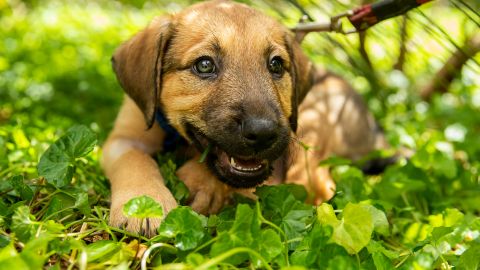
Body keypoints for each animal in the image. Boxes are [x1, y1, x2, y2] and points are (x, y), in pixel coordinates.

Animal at [101, 0, 386, 236]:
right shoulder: (123, 138)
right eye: (204, 65)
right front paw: (145, 205)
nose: (263, 133)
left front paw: (199, 182)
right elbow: (135, 160)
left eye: (276, 65)